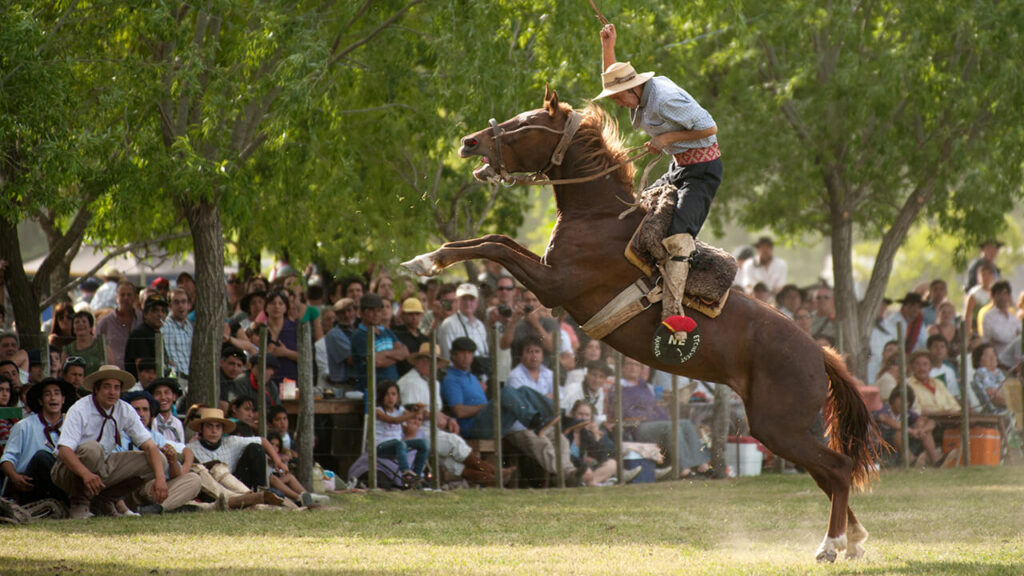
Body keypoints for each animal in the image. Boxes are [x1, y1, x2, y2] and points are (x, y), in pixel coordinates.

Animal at [403, 89, 876, 561]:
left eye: (525, 123)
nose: (469, 142)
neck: (599, 218)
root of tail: (818, 352)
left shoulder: (553, 284)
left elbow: (494, 247)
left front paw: (426, 261)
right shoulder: (546, 273)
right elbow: (494, 241)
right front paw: (425, 258)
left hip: (779, 427)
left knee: (838, 468)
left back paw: (832, 545)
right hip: (783, 430)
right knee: (829, 474)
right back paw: (851, 539)